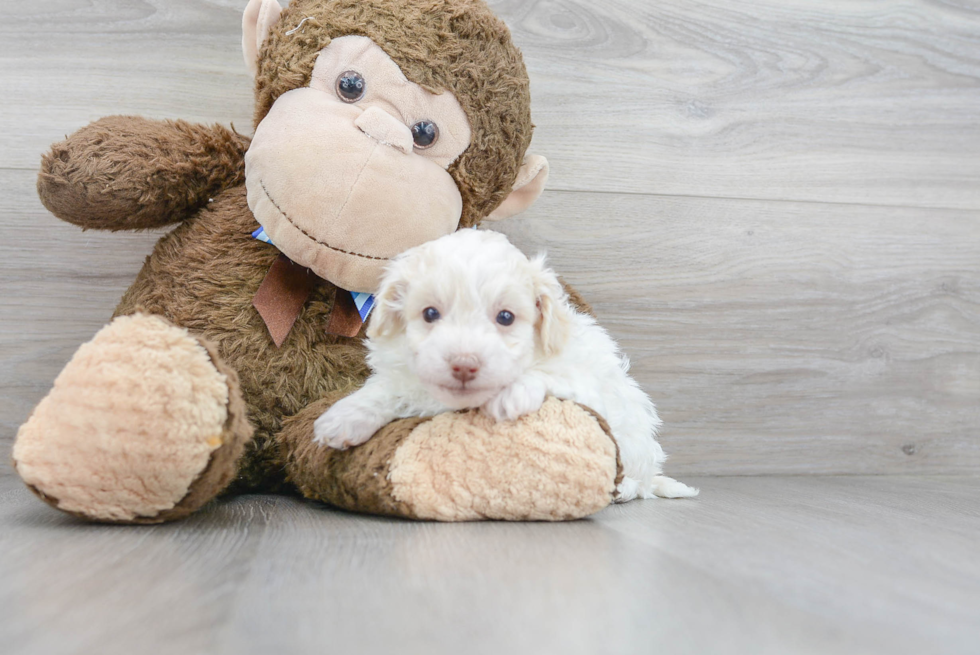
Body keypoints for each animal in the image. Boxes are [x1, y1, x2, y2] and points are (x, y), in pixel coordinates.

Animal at [314, 228, 696, 500]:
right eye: (430, 314)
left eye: (506, 317)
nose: (464, 364)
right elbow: (387, 389)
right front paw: (345, 417)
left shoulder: (581, 378)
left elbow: (544, 373)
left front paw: (512, 393)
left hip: (634, 441)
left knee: (639, 481)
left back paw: (625, 489)